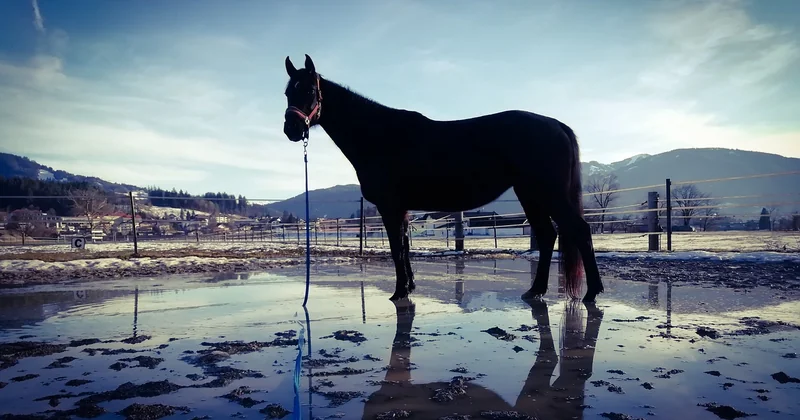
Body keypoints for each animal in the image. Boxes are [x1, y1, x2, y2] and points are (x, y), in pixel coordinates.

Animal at [282, 54, 604, 302]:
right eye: (287, 92)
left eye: (309, 91)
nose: (292, 129)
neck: (380, 136)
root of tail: (557, 125)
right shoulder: (402, 209)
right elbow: (405, 245)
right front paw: (408, 287)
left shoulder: (390, 206)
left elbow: (397, 248)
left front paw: (399, 292)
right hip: (530, 194)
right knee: (549, 235)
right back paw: (535, 291)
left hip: (548, 193)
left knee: (579, 231)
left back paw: (592, 293)